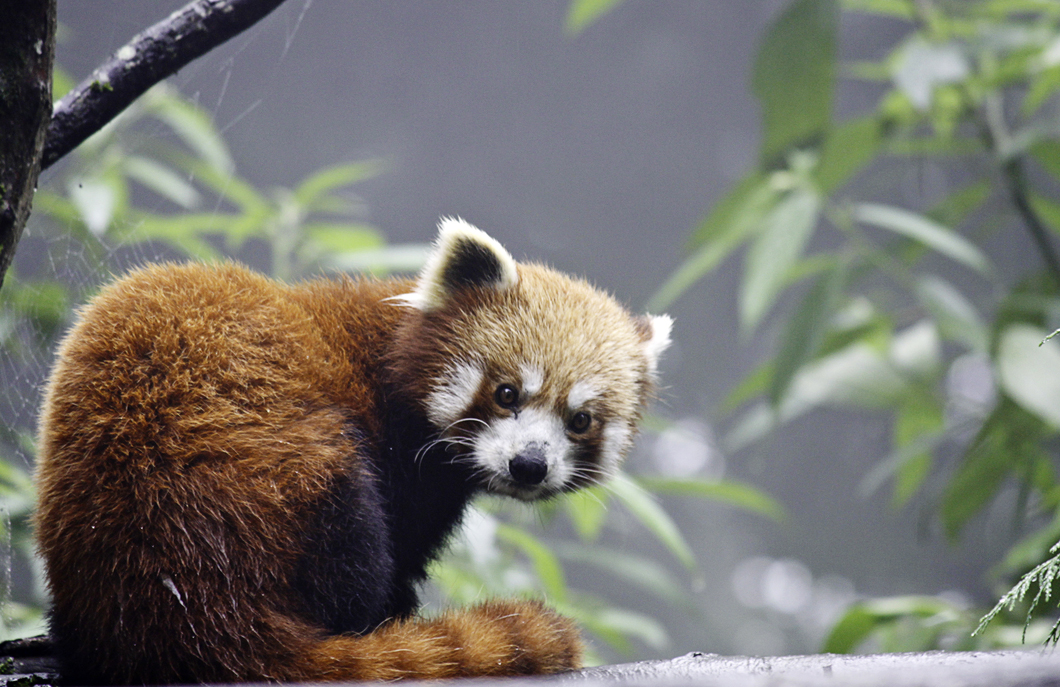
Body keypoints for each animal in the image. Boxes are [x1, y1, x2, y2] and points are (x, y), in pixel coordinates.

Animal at [39, 218, 678, 682]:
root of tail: (198, 608)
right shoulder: (400, 463)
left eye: (580, 420)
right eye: (506, 393)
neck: (389, 357)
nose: (529, 464)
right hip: (286, 466)